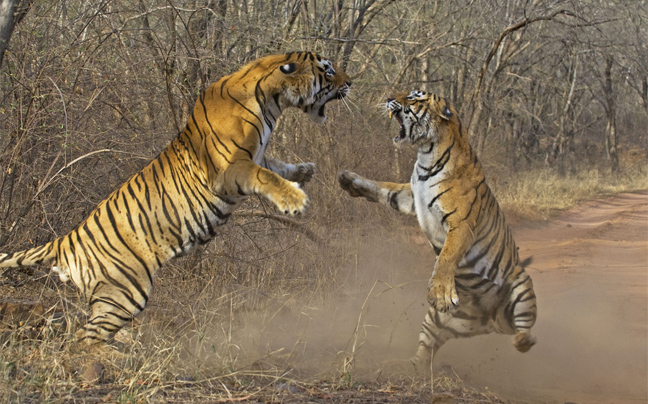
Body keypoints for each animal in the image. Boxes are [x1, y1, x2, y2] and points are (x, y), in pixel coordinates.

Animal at [0, 50, 352, 348]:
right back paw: (115, 358)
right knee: (84, 339)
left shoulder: (255, 155)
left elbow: (275, 165)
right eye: (327, 69)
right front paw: (295, 199)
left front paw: (304, 171)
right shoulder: (231, 169)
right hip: (125, 291)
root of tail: (65, 241)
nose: (350, 82)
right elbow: (264, 175)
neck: (271, 100)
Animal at [340, 90, 536, 388]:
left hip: (522, 288)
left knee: (525, 333)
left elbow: (447, 256)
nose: (388, 97)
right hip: (436, 322)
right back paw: (404, 366)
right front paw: (350, 180)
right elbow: (384, 188)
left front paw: (441, 292)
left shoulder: (460, 225)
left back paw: (523, 340)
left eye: (413, 97)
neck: (425, 158)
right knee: (424, 354)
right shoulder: (410, 197)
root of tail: (490, 320)